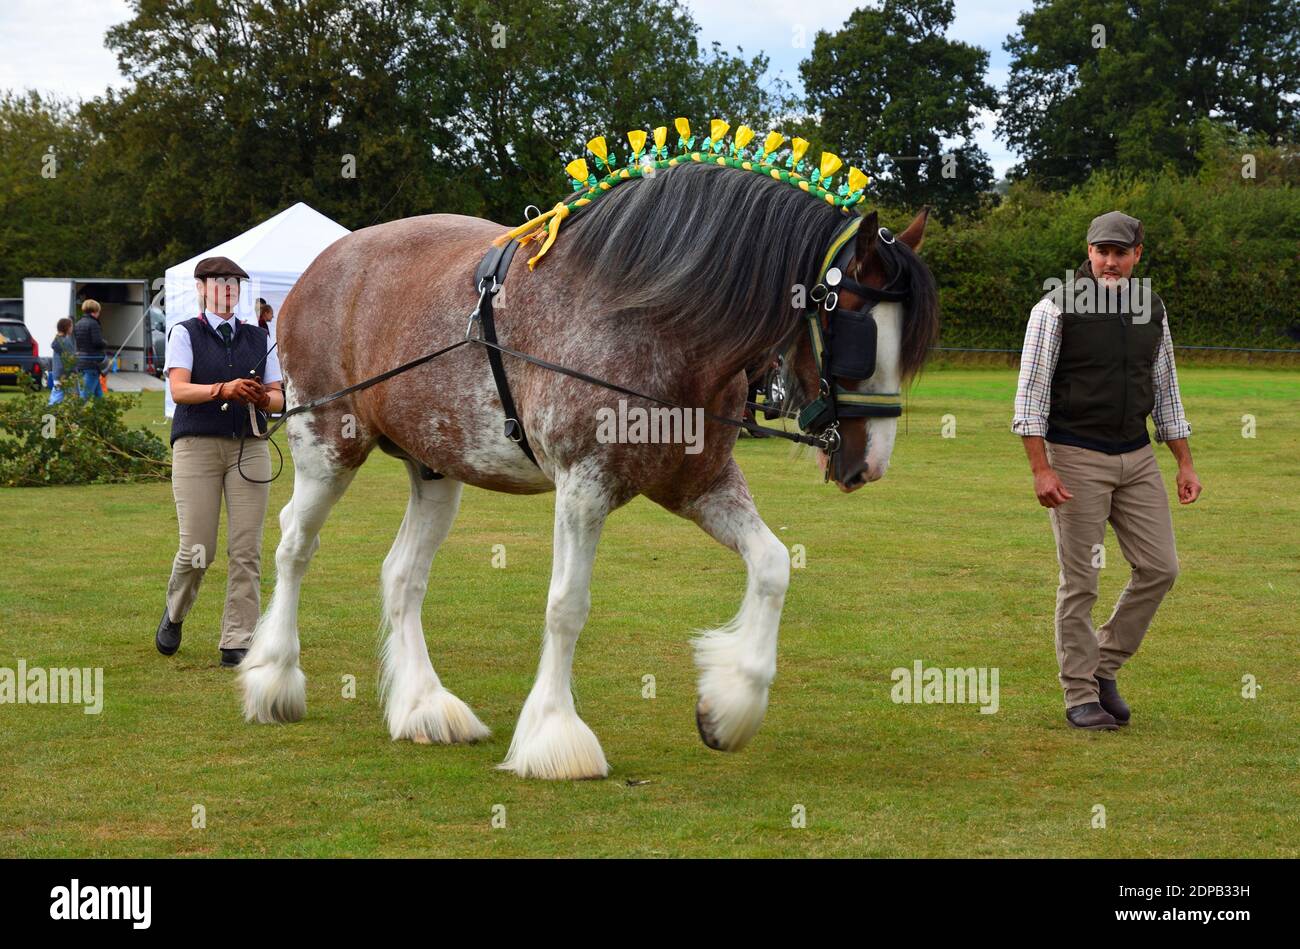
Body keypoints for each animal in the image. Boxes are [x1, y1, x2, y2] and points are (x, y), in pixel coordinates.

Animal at [237, 159, 939, 779]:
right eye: (856, 333)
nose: (869, 462)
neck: (657, 322)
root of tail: (321, 267)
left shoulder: (700, 486)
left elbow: (772, 565)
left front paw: (730, 706)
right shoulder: (582, 488)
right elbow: (567, 606)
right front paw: (555, 736)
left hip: (435, 469)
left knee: (402, 576)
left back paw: (423, 707)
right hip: (327, 446)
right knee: (295, 544)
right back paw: (273, 679)